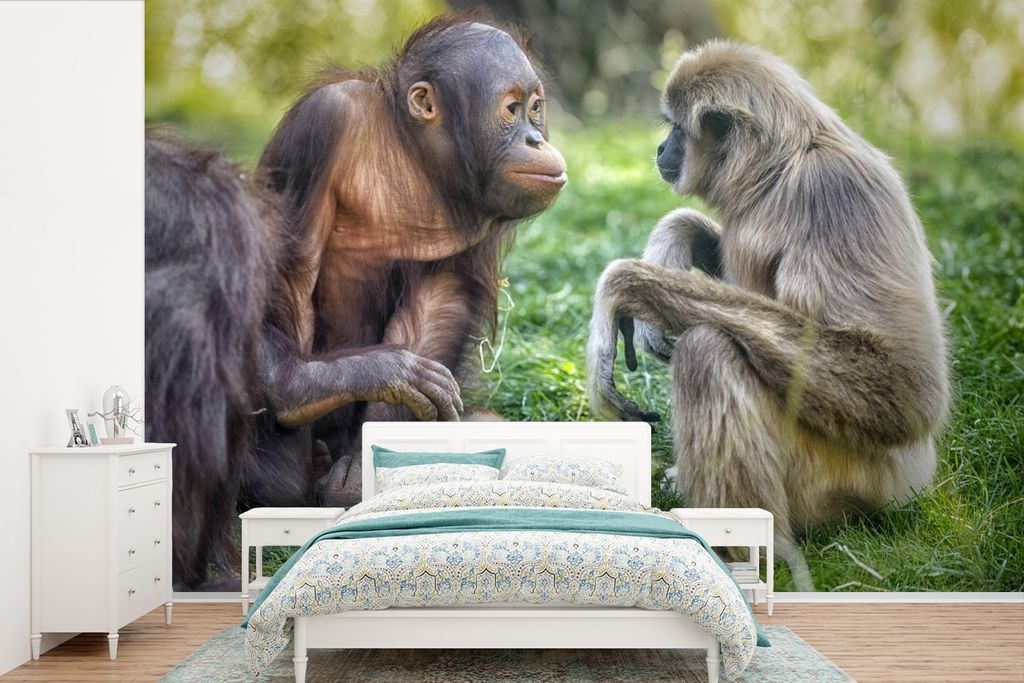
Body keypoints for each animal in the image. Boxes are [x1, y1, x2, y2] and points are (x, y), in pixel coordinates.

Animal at [145, 14, 566, 590]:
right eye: (511, 108)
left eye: (536, 107)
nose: (535, 136)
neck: (414, 156)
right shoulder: (323, 122)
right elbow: (287, 264)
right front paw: (326, 384)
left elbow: (442, 295)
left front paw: (368, 458)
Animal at [586, 41, 949, 590]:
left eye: (676, 129)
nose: (661, 148)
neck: (782, 171)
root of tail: (913, 481)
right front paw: (674, 238)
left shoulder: (833, 192)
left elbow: (905, 385)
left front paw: (626, 285)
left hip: (845, 475)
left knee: (708, 349)